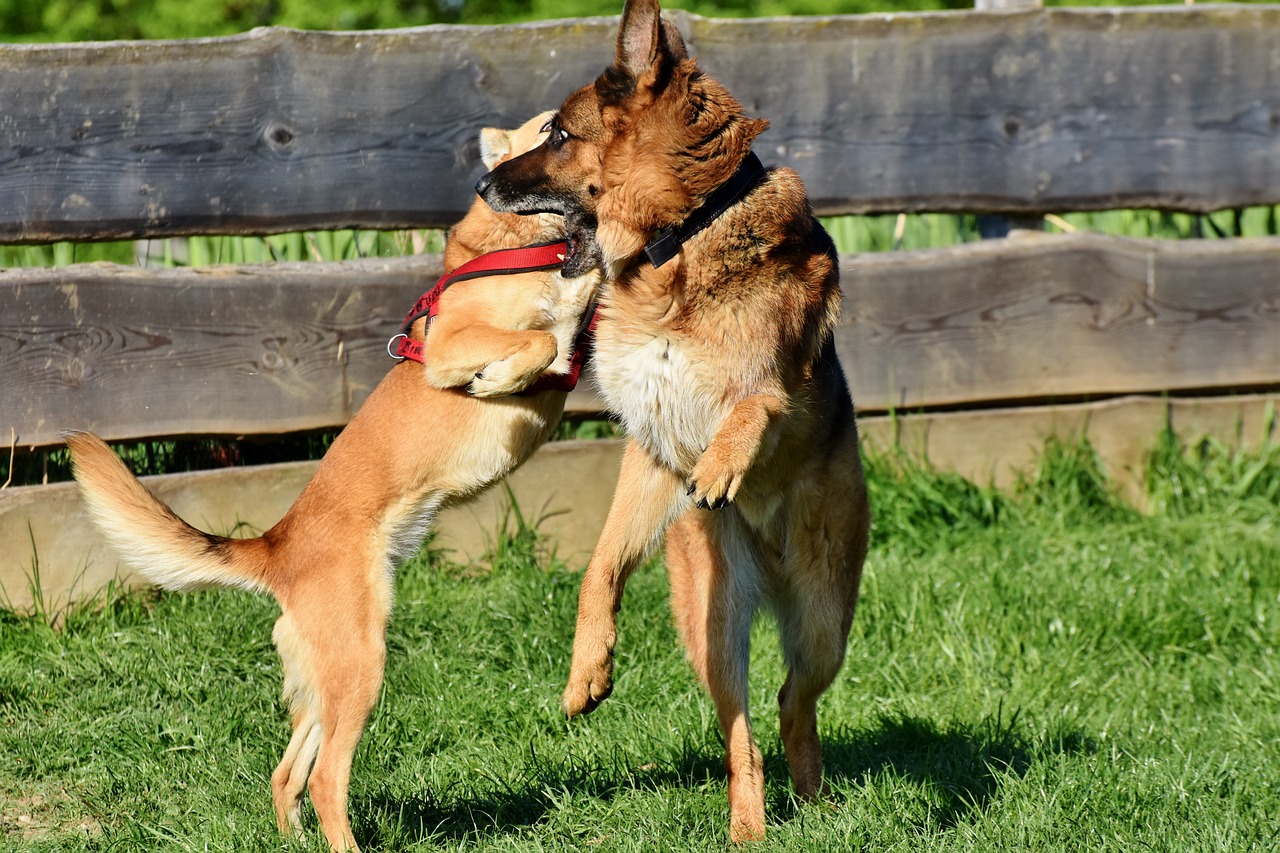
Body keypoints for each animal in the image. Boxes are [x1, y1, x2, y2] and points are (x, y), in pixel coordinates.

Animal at [68, 112, 604, 850]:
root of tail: (277, 546)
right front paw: (500, 376)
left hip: (328, 676)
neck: (520, 246)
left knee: (287, 771)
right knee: (325, 779)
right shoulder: (456, 346)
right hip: (361, 665)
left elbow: (571, 322)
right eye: (549, 129)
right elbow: (539, 342)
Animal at [476, 0, 875, 835]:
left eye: (558, 135)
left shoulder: (773, 390)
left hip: (826, 619)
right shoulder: (651, 448)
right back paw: (749, 825)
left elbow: (752, 403)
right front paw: (587, 668)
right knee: (744, 730)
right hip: (712, 626)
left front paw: (723, 464)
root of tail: (771, 569)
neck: (680, 239)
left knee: (794, 700)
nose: (482, 180)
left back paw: (811, 800)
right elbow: (599, 565)